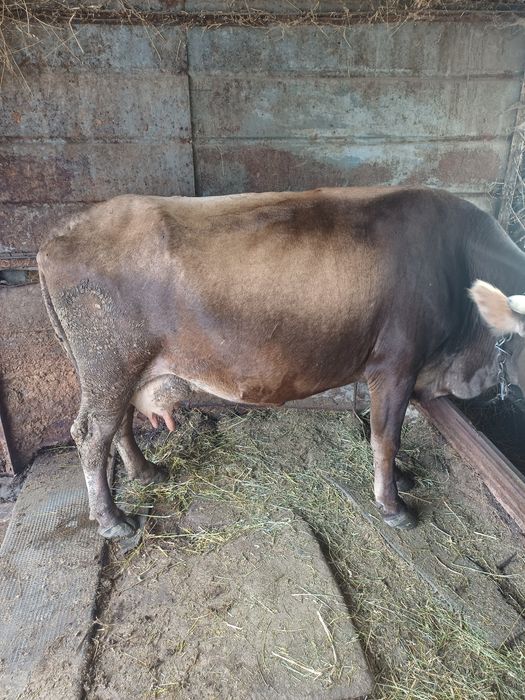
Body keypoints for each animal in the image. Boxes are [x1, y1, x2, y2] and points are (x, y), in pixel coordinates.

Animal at [37, 187, 525, 538]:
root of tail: (56, 238)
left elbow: (380, 429)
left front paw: (399, 479)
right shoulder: (396, 364)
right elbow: (387, 437)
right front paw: (393, 506)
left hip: (117, 371)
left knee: (118, 424)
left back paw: (146, 472)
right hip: (109, 364)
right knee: (91, 434)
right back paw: (112, 520)